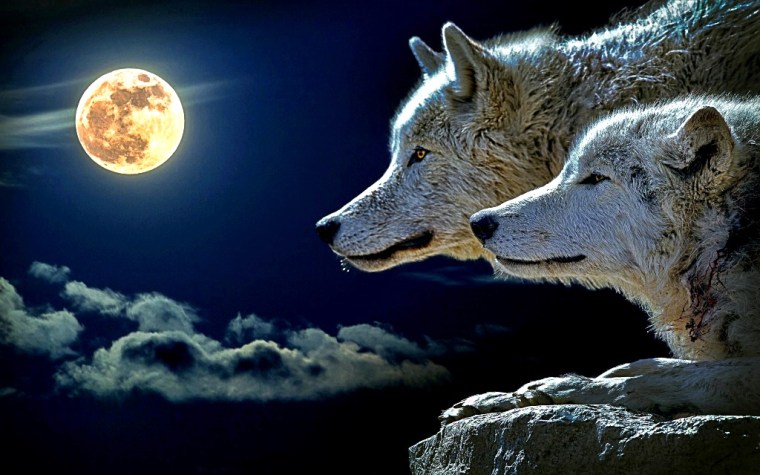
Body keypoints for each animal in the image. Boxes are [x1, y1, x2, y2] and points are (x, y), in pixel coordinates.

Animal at [442, 96, 760, 422]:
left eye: (596, 177)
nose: (478, 222)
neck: (725, 242)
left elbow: (657, 380)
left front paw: (559, 388)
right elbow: (655, 366)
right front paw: (500, 397)